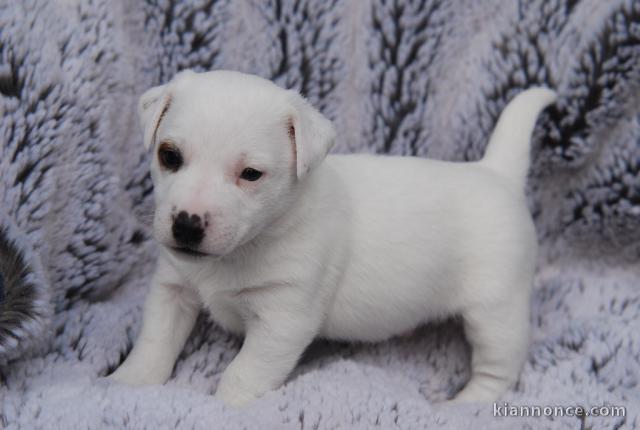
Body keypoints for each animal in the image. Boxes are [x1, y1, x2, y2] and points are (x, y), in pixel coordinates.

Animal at [110, 70, 556, 406]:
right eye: (169, 156)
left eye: (251, 174)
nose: (186, 225)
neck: (245, 248)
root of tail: (496, 172)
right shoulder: (173, 290)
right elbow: (154, 342)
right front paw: (126, 384)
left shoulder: (282, 319)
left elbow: (242, 374)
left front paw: (224, 408)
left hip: (496, 312)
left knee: (499, 370)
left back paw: (464, 405)